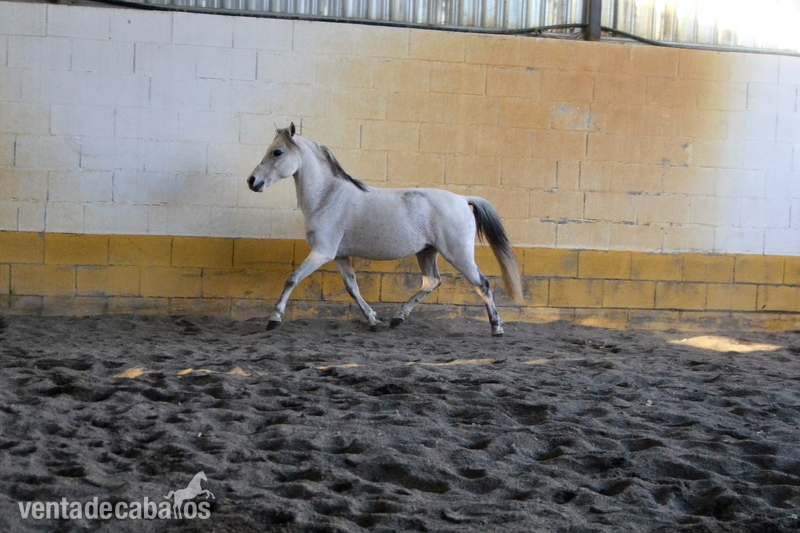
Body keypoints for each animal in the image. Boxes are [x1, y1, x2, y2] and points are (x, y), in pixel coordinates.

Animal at [247, 123, 523, 336]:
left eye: (277, 152)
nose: (252, 181)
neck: (327, 197)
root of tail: (464, 200)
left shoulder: (322, 253)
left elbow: (292, 279)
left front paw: (274, 319)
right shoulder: (339, 256)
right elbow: (353, 289)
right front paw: (372, 320)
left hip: (459, 255)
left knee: (482, 284)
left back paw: (496, 328)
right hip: (427, 252)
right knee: (431, 282)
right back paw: (397, 318)